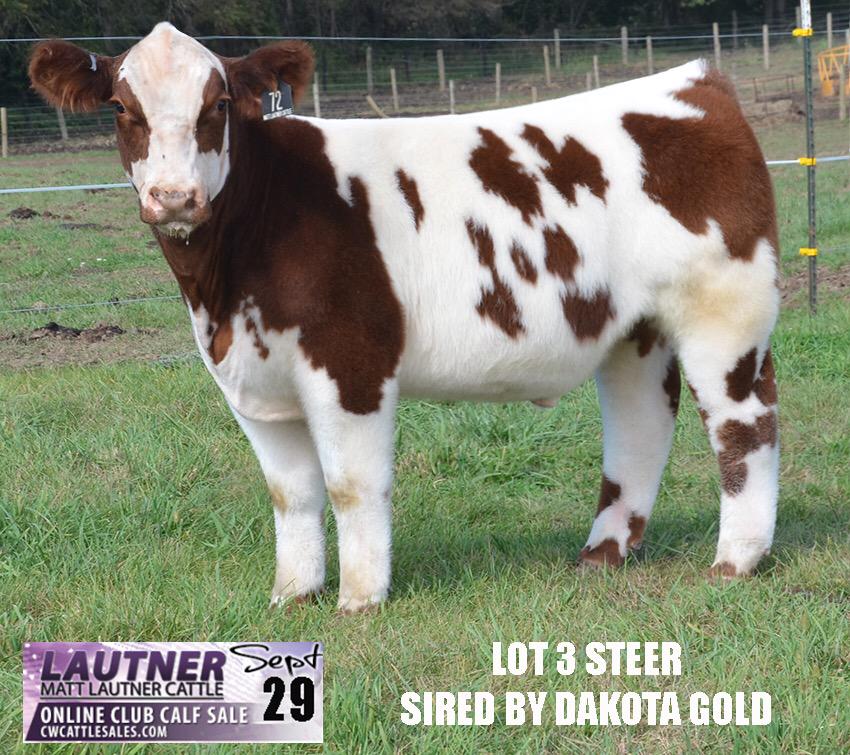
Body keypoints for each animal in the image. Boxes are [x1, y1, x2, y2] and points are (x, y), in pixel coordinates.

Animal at [29, 23, 779, 612]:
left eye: (217, 104)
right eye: (121, 106)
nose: (175, 196)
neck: (225, 285)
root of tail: (697, 82)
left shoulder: (350, 363)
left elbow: (349, 485)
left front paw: (360, 599)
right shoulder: (250, 380)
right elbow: (290, 492)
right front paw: (292, 595)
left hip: (725, 312)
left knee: (744, 424)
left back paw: (736, 560)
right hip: (632, 328)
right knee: (641, 422)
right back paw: (603, 553)